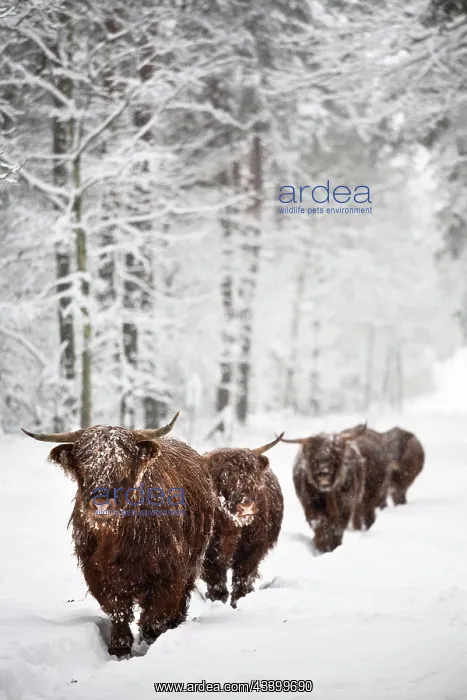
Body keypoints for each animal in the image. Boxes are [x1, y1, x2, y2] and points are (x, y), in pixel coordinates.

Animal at [22, 413, 216, 658]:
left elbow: (156, 615)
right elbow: (118, 611)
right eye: (85, 467)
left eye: (122, 468)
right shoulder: (96, 573)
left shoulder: (169, 574)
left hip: (192, 564)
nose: (102, 503)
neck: (116, 538)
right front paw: (119, 647)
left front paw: (150, 639)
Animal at [201, 434, 284, 608]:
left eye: (253, 474)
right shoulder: (207, 556)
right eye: (224, 476)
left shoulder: (253, 550)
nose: (246, 507)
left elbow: (242, 579)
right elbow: (216, 583)